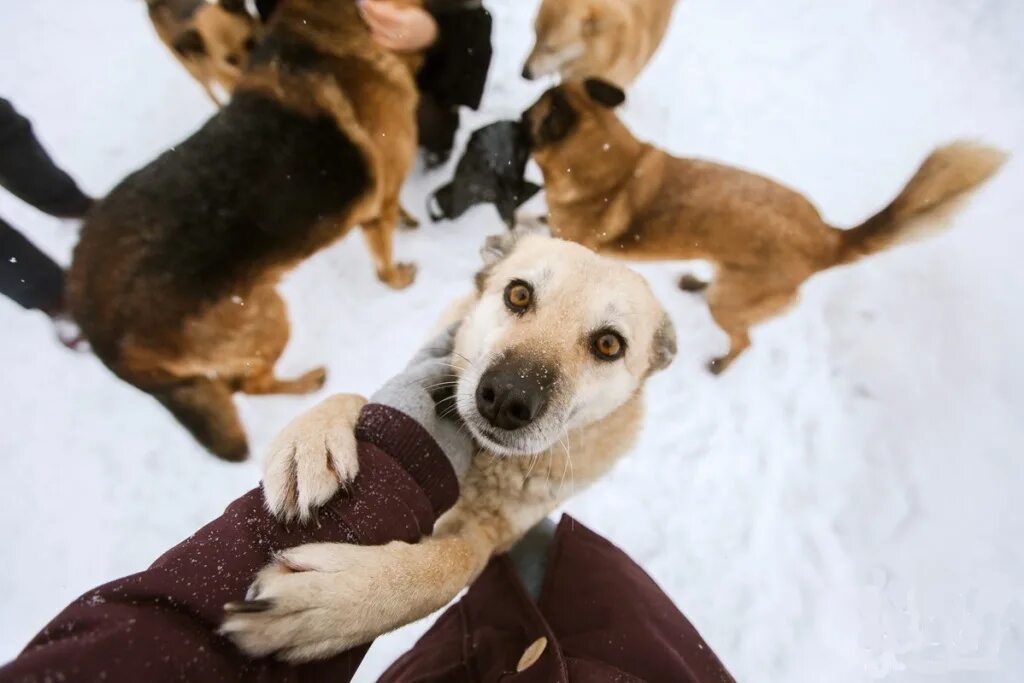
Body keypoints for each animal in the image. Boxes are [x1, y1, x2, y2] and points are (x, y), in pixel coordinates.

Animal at [71, 0, 423, 462]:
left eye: (255, 41)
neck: (317, 22)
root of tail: (91, 325)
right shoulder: (377, 207)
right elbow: (384, 260)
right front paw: (399, 277)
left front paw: (409, 219)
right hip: (268, 319)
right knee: (249, 385)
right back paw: (307, 383)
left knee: (231, 384)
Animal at [220, 233, 675, 663]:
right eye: (519, 294)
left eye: (609, 345)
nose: (507, 397)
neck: (484, 466)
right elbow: (356, 396)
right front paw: (312, 442)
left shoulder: (490, 537)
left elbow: (452, 566)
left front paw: (332, 604)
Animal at [524, 80, 1003, 374]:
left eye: (529, 117)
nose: (519, 114)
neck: (612, 163)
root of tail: (830, 239)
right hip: (731, 281)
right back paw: (696, 282)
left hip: (731, 305)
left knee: (744, 342)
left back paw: (719, 365)